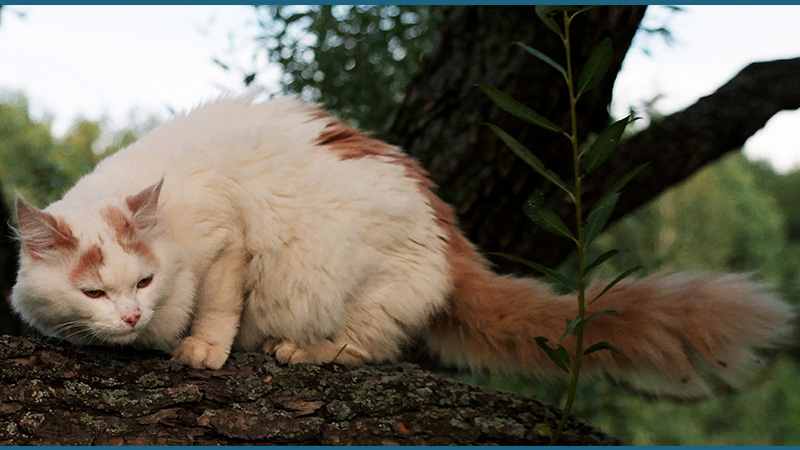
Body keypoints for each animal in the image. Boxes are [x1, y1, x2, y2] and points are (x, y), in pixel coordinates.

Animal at [7, 94, 792, 394]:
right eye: (94, 291)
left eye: (142, 282)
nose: (132, 316)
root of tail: (449, 235)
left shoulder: (228, 237)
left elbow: (220, 306)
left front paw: (201, 349)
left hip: (360, 283)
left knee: (366, 345)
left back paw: (300, 351)